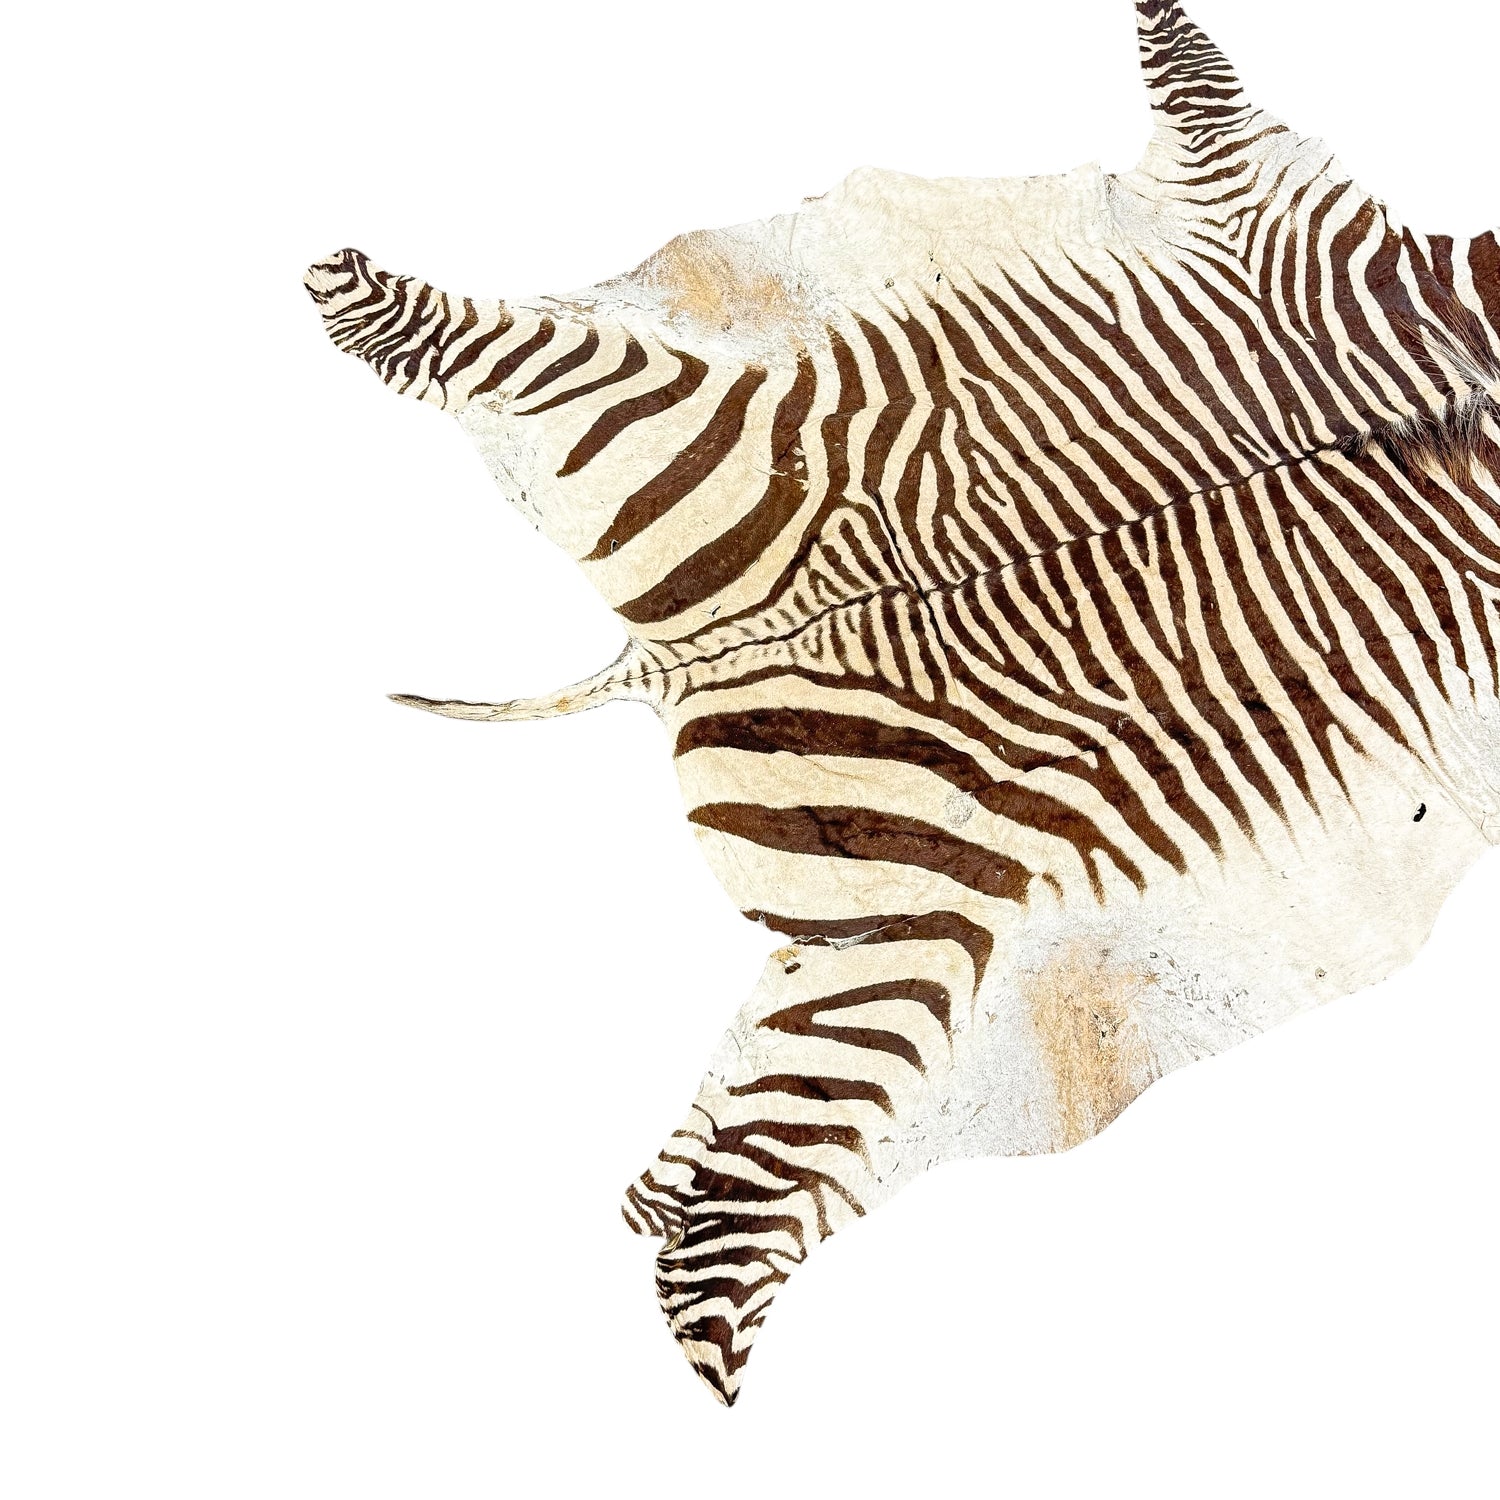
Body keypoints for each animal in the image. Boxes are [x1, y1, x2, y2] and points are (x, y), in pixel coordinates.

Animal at [305, 0, 1500, 1404]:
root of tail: (688, 657)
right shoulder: (1274, 206)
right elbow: (1198, 77)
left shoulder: (1269, 205)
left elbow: (1197, 84)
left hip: (901, 923)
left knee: (726, 1168)